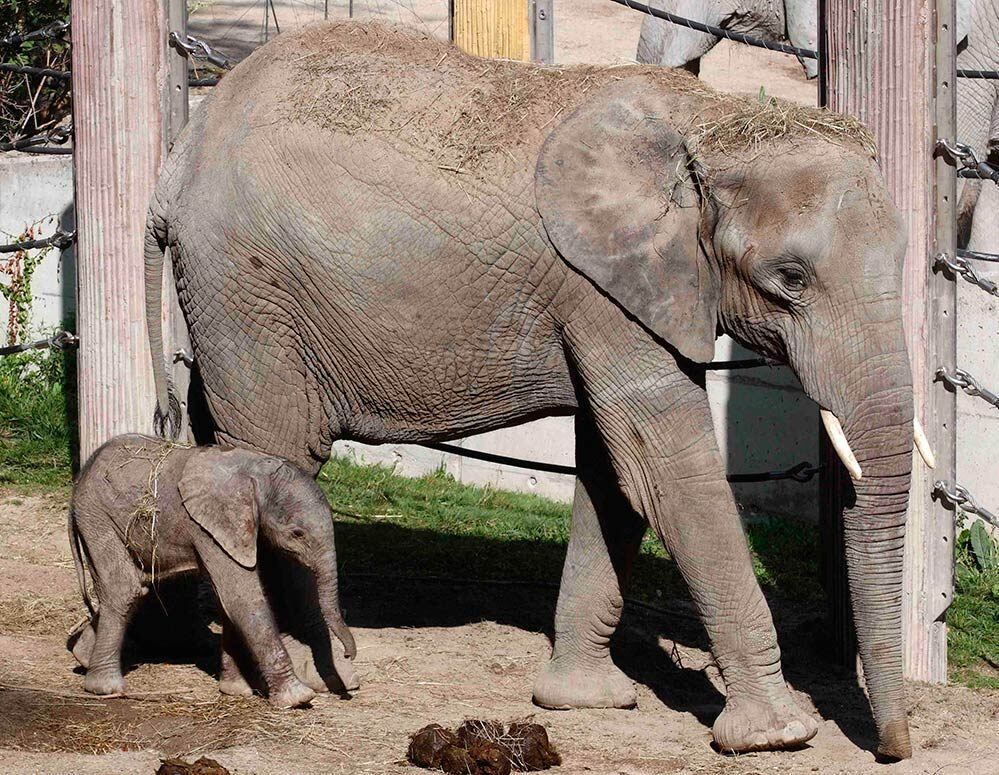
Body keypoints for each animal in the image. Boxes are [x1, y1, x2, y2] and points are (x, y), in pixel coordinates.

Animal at [68, 434, 357, 707]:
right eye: (297, 533)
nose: (348, 654)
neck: (257, 470)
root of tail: (80, 479)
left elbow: (227, 600)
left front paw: (236, 690)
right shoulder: (209, 525)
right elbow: (241, 598)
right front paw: (298, 697)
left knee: (134, 588)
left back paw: (83, 659)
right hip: (97, 516)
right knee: (125, 588)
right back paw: (106, 687)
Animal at [143, 22, 934, 758]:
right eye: (789, 280)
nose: (891, 747)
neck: (710, 122)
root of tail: (174, 164)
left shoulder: (611, 291)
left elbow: (616, 470)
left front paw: (583, 701)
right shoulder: (601, 286)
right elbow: (665, 466)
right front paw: (779, 735)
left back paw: (235, 668)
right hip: (248, 289)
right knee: (277, 453)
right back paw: (293, 679)